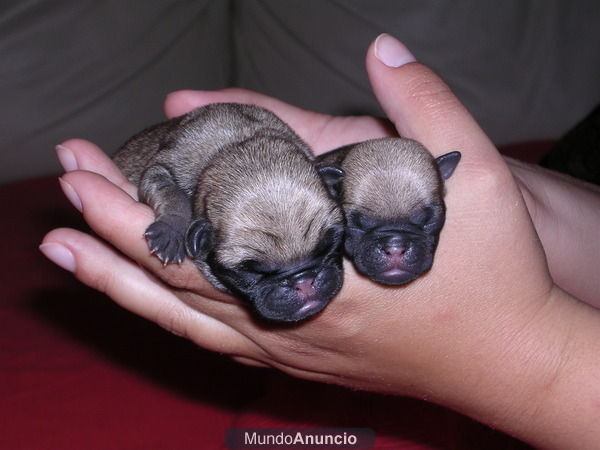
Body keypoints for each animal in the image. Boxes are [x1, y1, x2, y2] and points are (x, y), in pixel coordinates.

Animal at [113, 103, 342, 322]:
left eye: (330, 245)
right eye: (253, 272)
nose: (304, 281)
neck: (238, 147)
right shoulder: (161, 169)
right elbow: (171, 194)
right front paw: (171, 230)